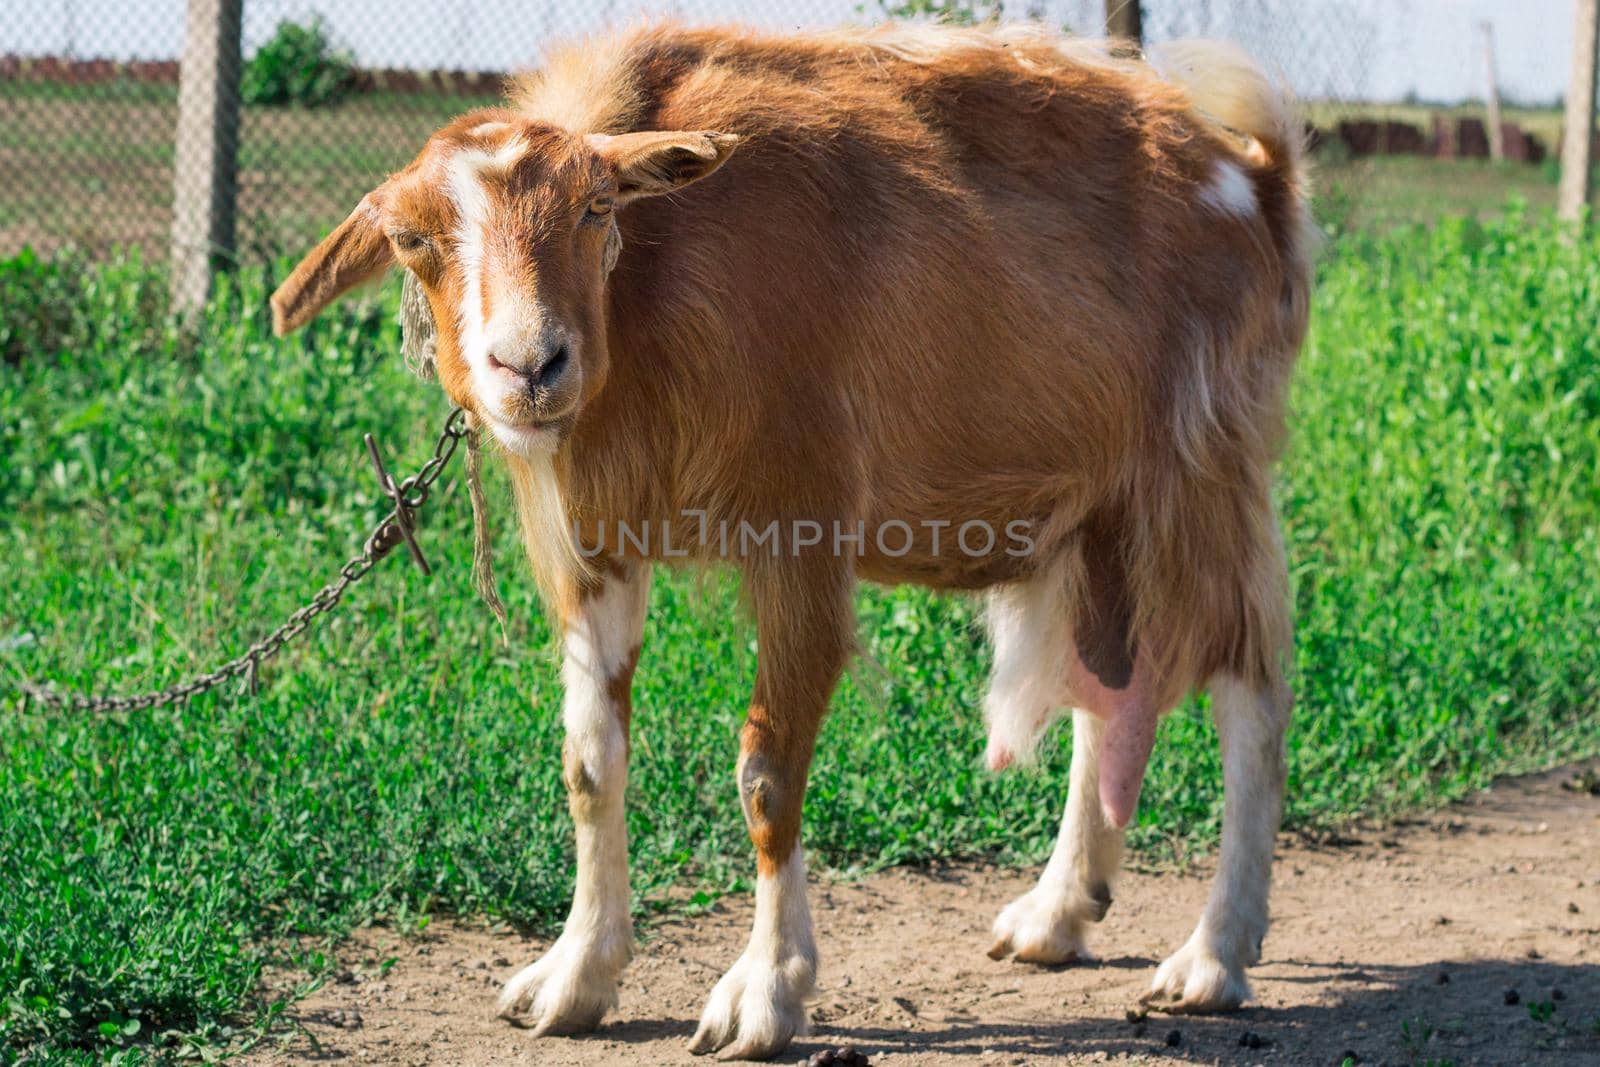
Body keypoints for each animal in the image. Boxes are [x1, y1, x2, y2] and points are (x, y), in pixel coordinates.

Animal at [275, 22, 1312, 1062]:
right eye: (411, 239)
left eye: (598, 206)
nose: (530, 366)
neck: (657, 278)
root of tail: (1255, 180)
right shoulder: (599, 547)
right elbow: (590, 762)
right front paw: (574, 976)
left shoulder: (798, 527)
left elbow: (767, 775)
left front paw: (763, 993)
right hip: (1099, 510)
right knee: (1108, 689)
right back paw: (1056, 914)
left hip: (1198, 474)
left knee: (1252, 692)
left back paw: (1214, 955)